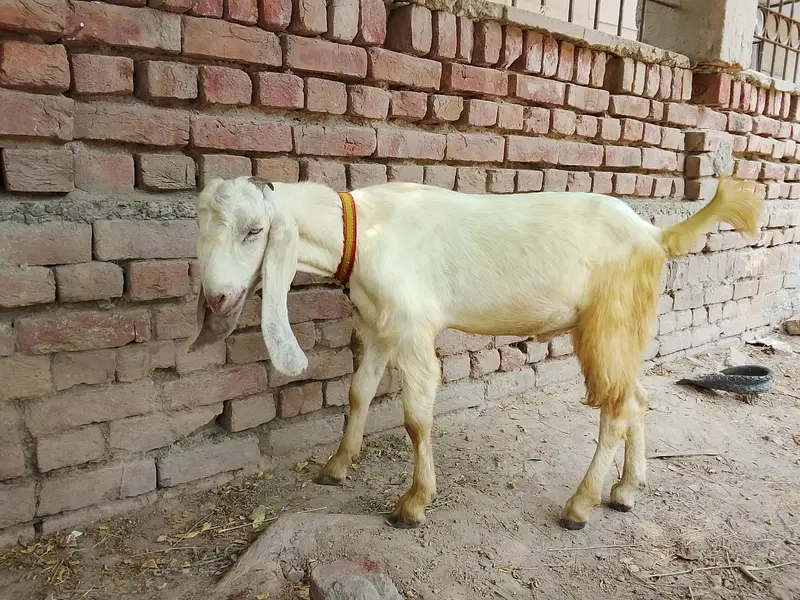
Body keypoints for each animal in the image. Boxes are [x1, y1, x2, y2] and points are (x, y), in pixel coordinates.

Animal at [189, 175, 762, 530]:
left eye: (255, 230)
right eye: (200, 226)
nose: (216, 297)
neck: (363, 230)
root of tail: (655, 234)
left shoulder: (413, 329)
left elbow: (416, 418)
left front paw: (413, 504)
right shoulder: (378, 328)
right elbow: (357, 394)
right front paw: (336, 466)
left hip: (609, 320)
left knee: (616, 408)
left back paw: (580, 506)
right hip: (625, 327)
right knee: (637, 397)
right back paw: (626, 490)